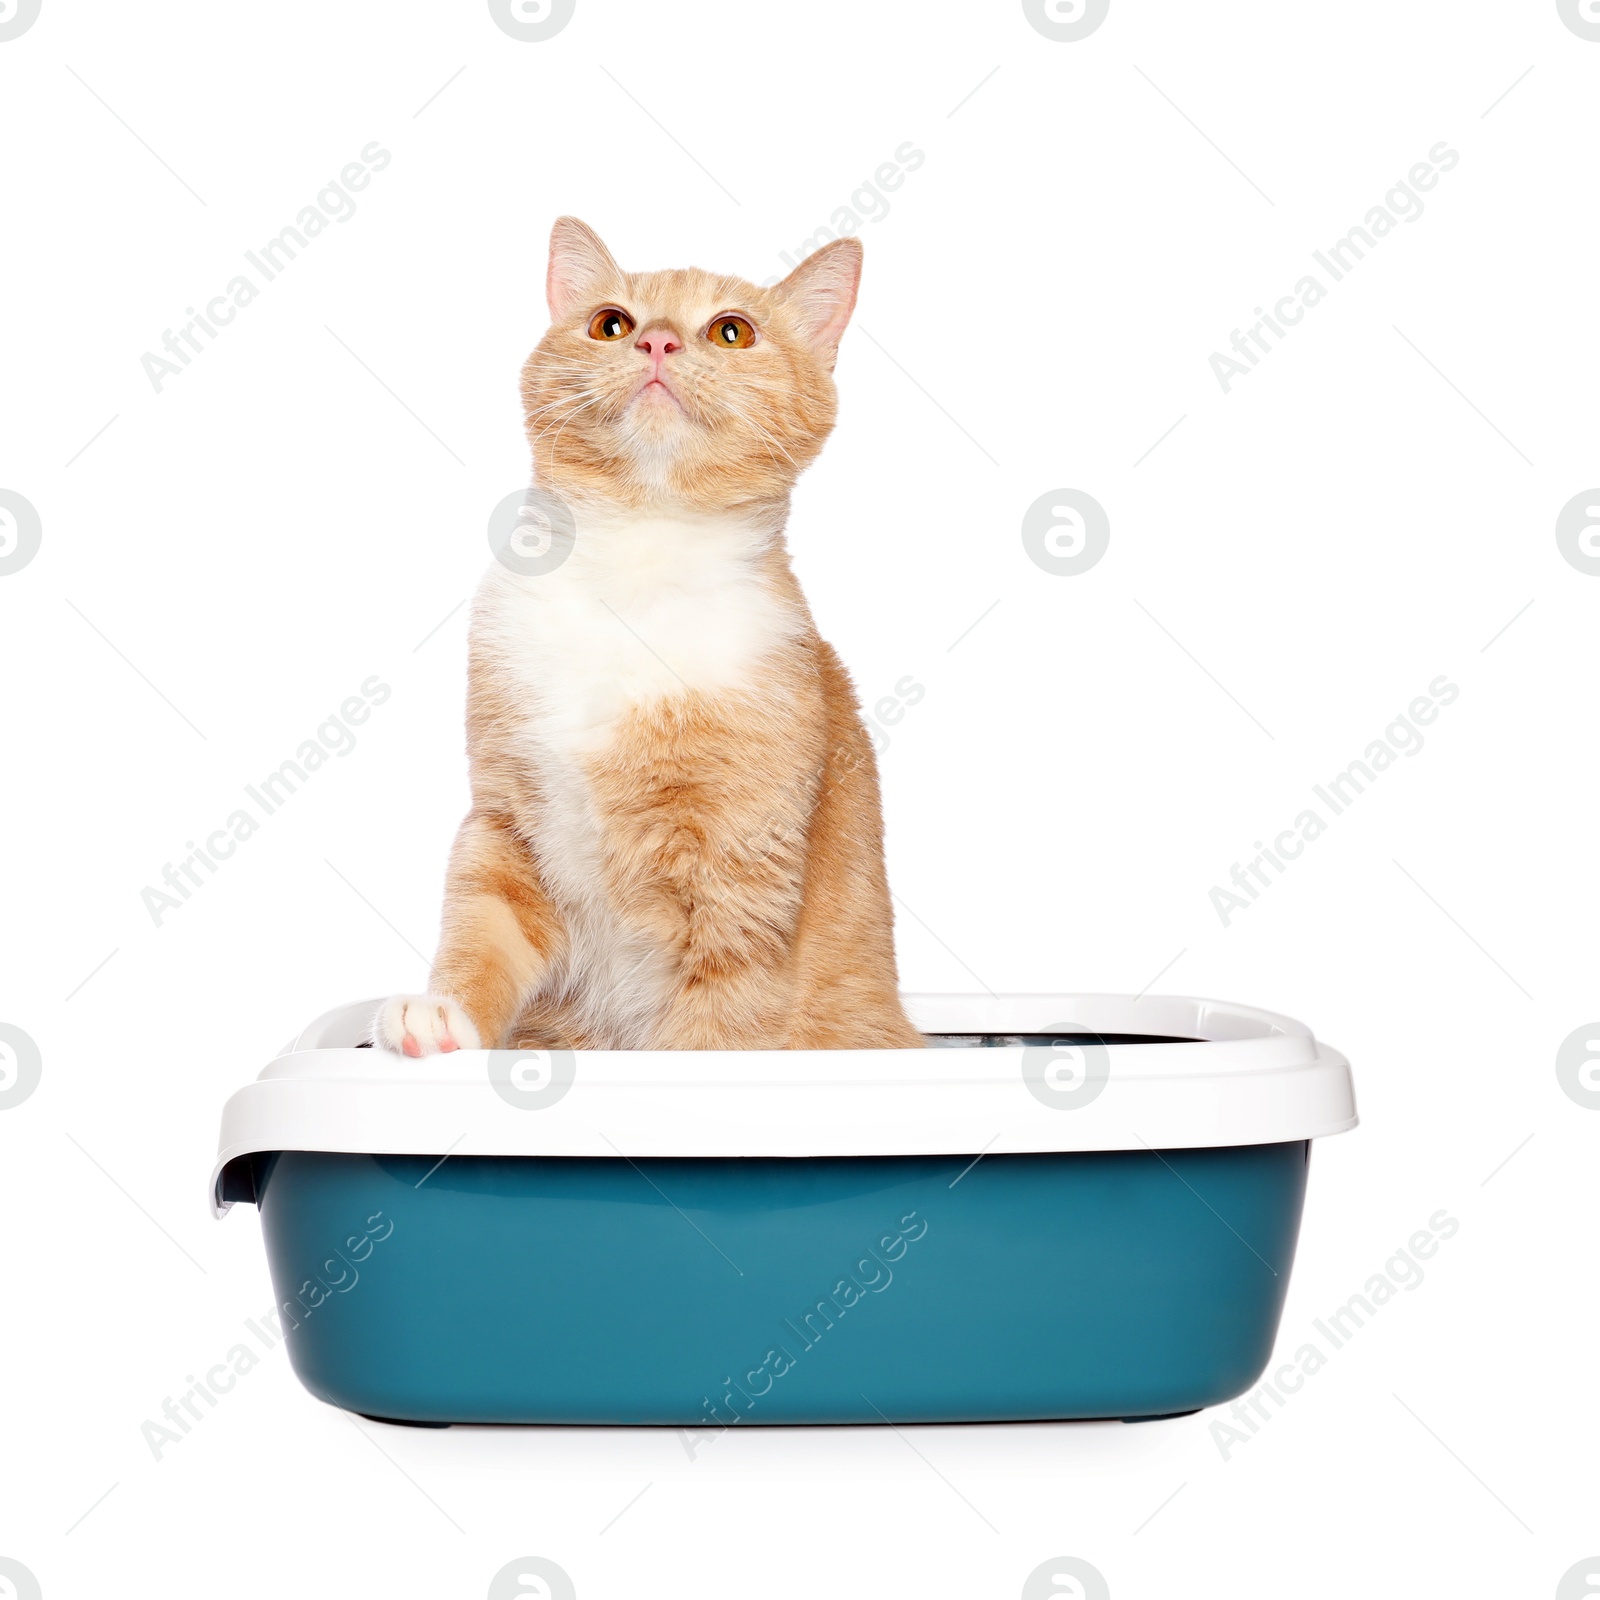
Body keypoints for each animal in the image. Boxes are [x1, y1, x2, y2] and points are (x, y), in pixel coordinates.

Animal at [372, 219, 921, 1056]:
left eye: (732, 331)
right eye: (611, 323)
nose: (656, 341)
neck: (632, 570)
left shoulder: (741, 877)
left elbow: (714, 1027)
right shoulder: (505, 826)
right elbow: (481, 927)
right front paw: (444, 1016)